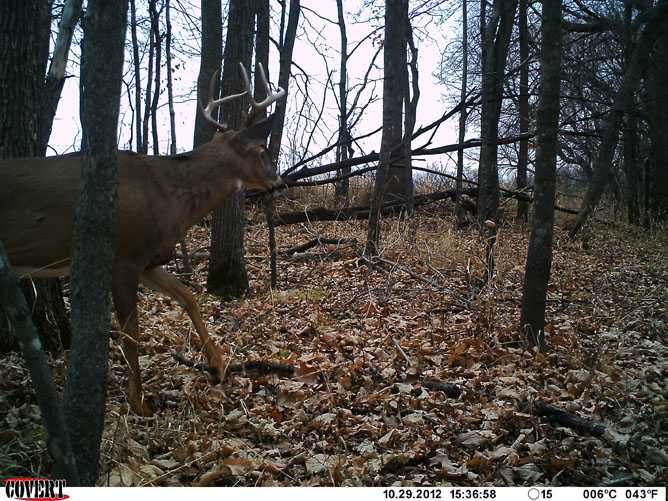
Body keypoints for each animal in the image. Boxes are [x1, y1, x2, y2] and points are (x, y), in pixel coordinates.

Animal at [0, 61, 284, 414]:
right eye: (262, 151)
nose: (279, 181)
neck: (169, 198)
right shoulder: (124, 256)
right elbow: (130, 332)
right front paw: (139, 402)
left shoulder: (149, 259)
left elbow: (188, 297)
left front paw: (219, 366)